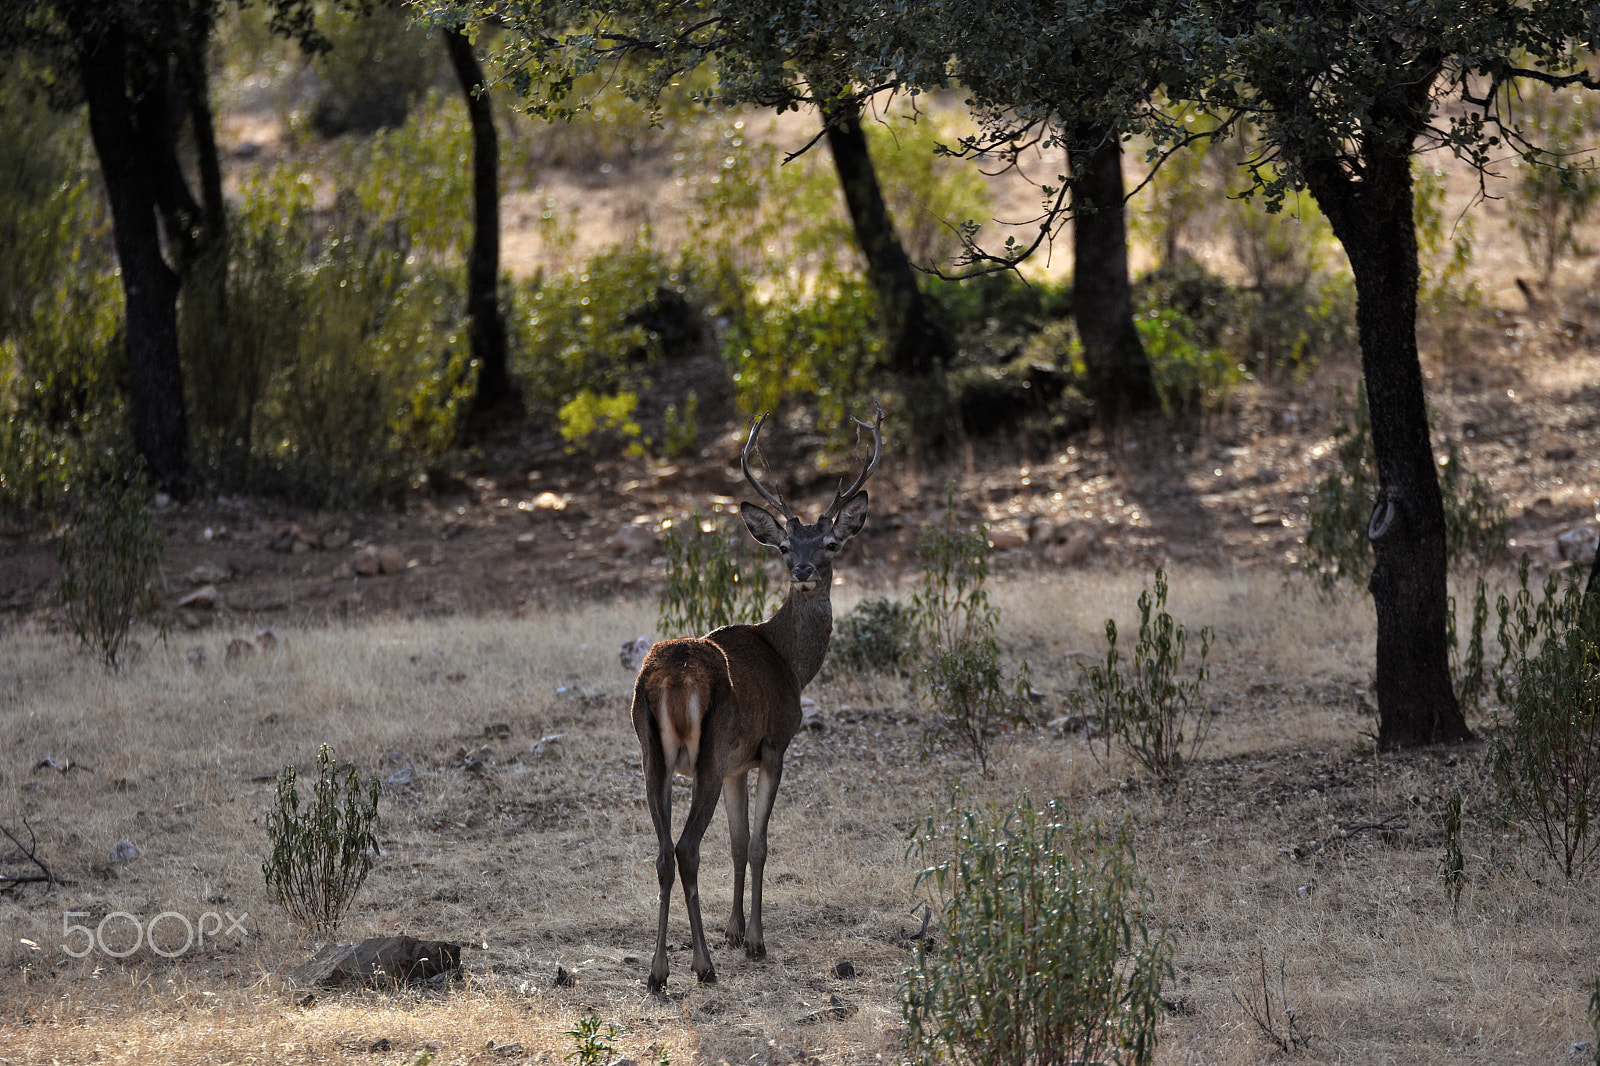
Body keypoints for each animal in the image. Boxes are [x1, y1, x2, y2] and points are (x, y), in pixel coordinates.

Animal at [629, 404, 884, 993]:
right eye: (786, 547)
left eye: (830, 544)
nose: (804, 570)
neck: (788, 660)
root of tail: (672, 677)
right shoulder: (772, 745)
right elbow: (761, 843)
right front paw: (754, 940)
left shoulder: (734, 765)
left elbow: (738, 841)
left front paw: (732, 930)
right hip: (705, 750)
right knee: (686, 847)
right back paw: (701, 967)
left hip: (652, 754)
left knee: (662, 851)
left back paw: (658, 971)